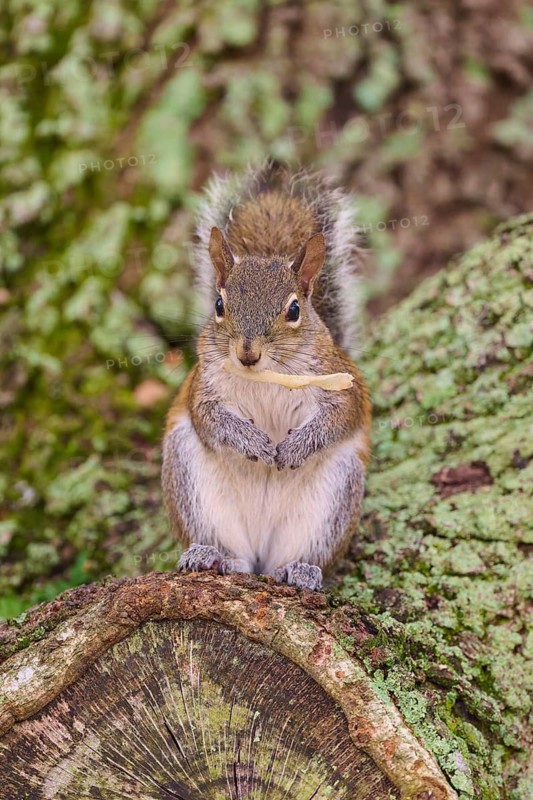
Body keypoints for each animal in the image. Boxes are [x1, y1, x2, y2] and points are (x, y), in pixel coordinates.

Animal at [162, 161, 371, 591]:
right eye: (219, 304)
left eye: (294, 310)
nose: (247, 353)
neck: (266, 376)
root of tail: (260, 555)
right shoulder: (203, 388)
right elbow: (210, 420)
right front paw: (254, 442)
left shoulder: (339, 382)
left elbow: (339, 417)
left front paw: (292, 449)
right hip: (194, 487)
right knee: (233, 553)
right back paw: (213, 557)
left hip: (332, 501)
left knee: (296, 557)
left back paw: (299, 570)